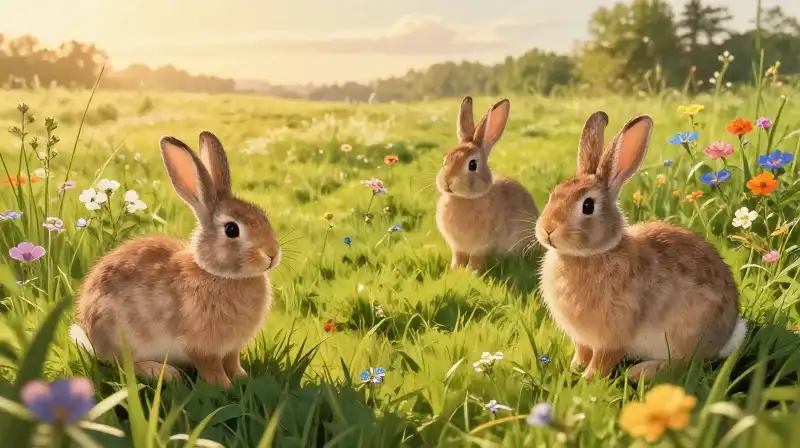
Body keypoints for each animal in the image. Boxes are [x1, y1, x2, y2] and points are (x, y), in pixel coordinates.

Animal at [69, 131, 281, 389]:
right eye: (232, 229)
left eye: (263, 216)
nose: (272, 255)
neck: (217, 274)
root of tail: (91, 337)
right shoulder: (203, 349)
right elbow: (212, 369)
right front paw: (226, 387)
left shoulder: (232, 349)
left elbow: (232, 362)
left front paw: (243, 378)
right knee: (124, 366)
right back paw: (165, 373)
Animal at [436, 96, 538, 272]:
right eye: (446, 159)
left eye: (472, 165)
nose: (447, 182)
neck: (463, 199)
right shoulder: (457, 248)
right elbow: (457, 257)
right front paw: (454, 270)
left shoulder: (482, 246)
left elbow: (476, 259)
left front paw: (472, 272)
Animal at [535, 111, 747, 382]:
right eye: (553, 195)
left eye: (588, 206)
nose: (547, 230)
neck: (591, 255)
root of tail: (726, 336)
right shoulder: (581, 339)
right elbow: (582, 353)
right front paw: (573, 369)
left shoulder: (614, 337)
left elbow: (602, 362)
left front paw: (587, 380)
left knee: (687, 363)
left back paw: (641, 372)